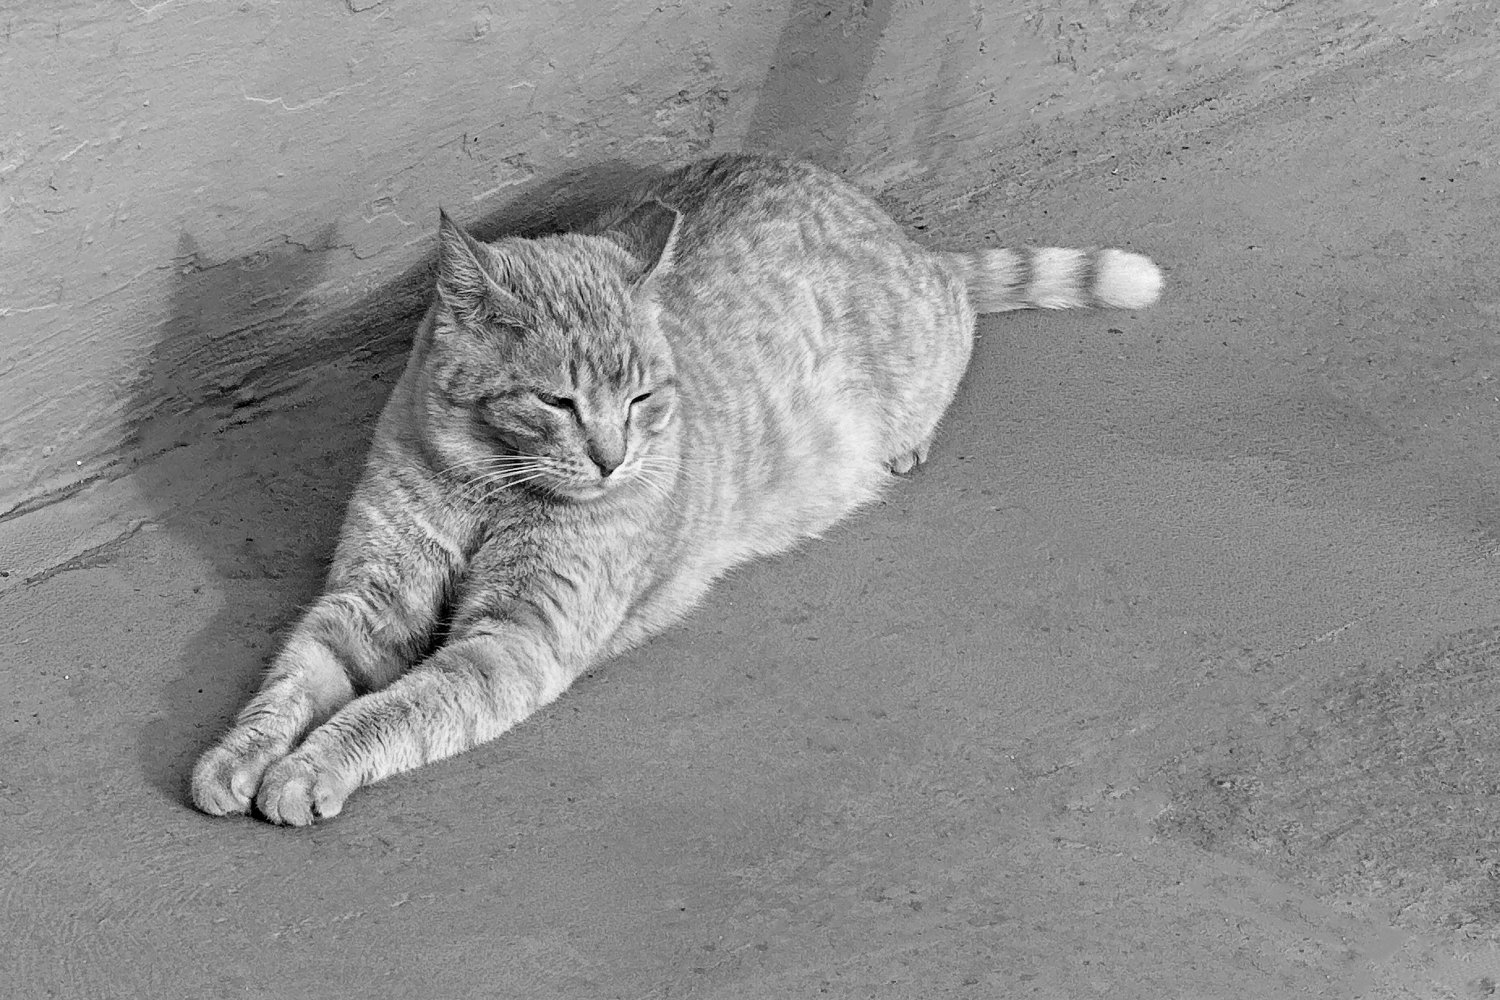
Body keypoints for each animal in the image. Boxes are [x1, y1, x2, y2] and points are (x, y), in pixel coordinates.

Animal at [191, 153, 1162, 825]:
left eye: (641, 398)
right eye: (558, 402)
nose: (612, 459)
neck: (486, 487)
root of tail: (893, 231)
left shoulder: (515, 642)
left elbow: (391, 710)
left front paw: (308, 768)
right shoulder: (368, 598)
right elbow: (293, 681)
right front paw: (242, 755)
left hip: (924, 335)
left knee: (961, 316)